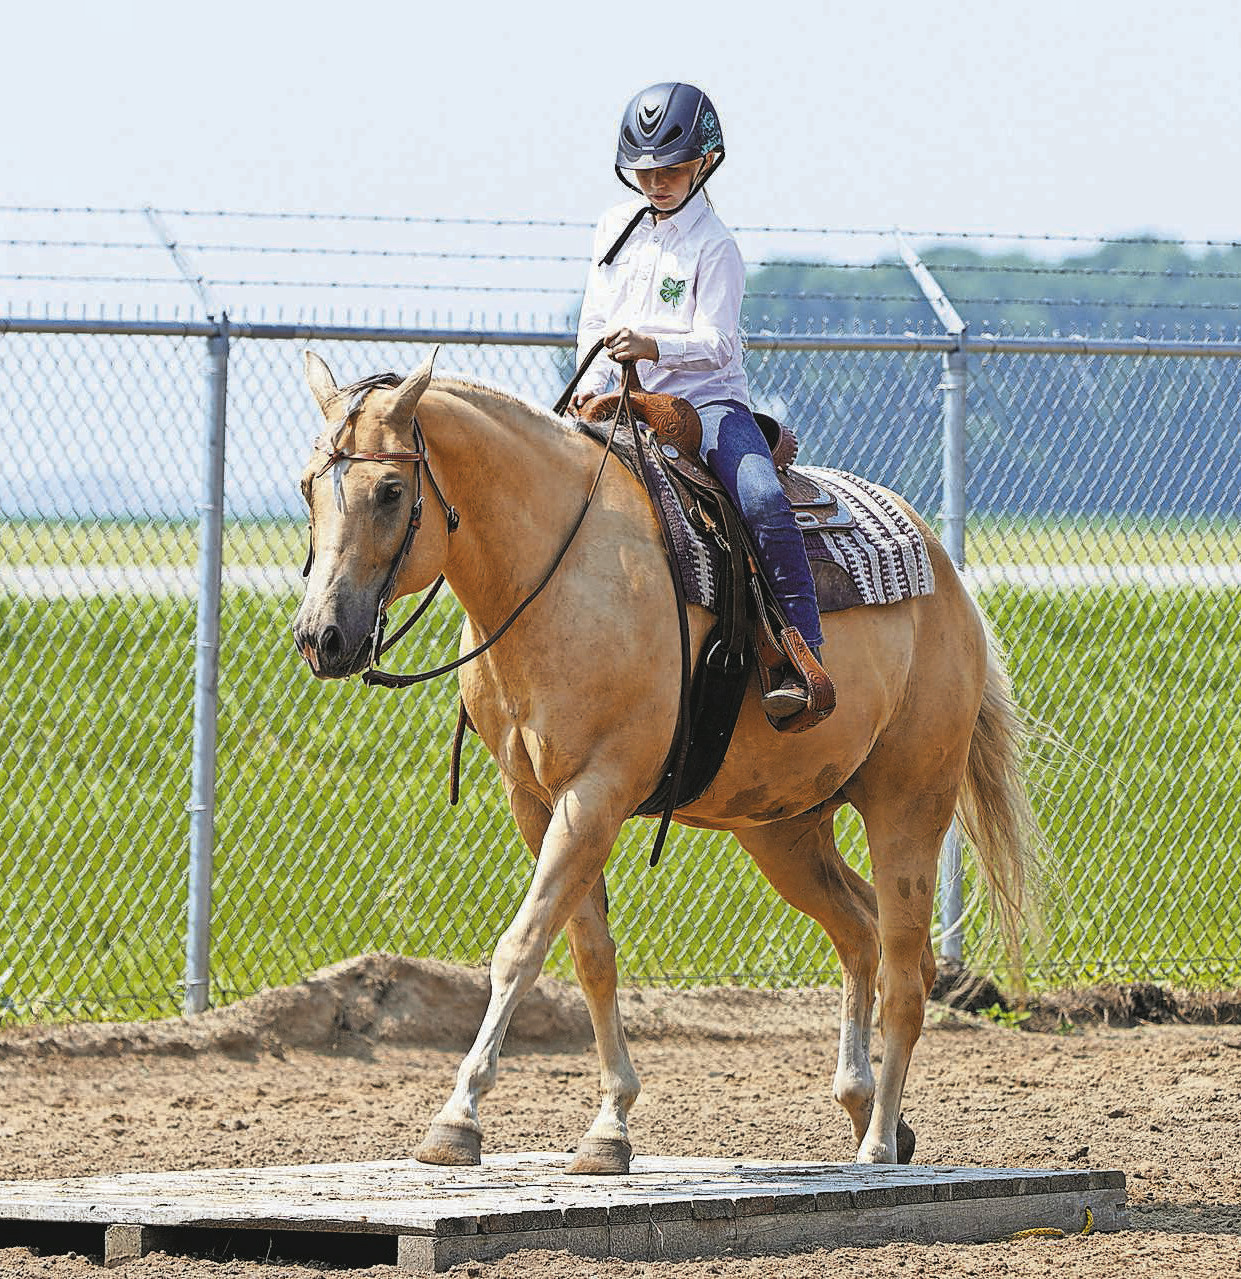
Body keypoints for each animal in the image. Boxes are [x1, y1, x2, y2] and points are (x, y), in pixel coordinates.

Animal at [291, 348, 1037, 1174]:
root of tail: (948, 579)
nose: (321, 636)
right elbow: (588, 952)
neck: (557, 572)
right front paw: (608, 1125)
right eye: (306, 486)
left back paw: (875, 1142)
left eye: (390, 490)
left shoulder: (596, 793)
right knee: (860, 932)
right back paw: (869, 1107)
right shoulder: (535, 800)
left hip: (909, 803)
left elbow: (521, 944)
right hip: (783, 829)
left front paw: (457, 1118)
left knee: (906, 966)